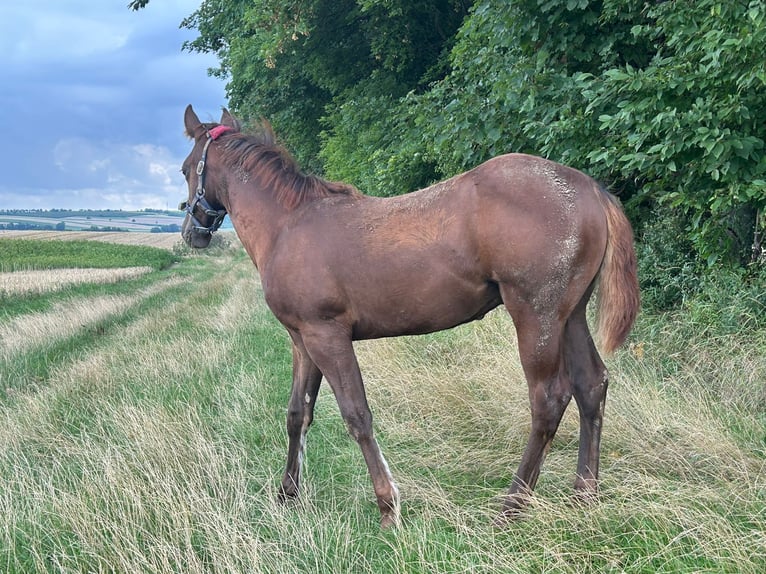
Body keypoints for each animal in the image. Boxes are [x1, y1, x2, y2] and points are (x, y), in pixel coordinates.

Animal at [179, 105, 639, 528]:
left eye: (186, 168)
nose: (190, 234)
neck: (289, 225)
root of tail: (589, 188)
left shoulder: (327, 336)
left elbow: (357, 416)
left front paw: (388, 508)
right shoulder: (302, 341)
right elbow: (297, 414)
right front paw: (287, 494)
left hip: (535, 315)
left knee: (549, 399)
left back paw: (511, 507)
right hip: (570, 316)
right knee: (591, 384)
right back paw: (584, 495)